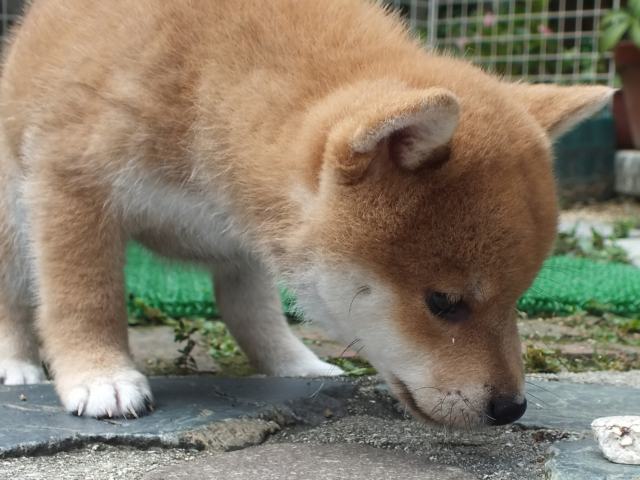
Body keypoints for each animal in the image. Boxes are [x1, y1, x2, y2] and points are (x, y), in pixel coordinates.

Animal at [0, 0, 612, 428]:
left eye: (517, 299)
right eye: (444, 303)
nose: (512, 409)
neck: (209, 84)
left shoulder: (251, 233)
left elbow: (256, 309)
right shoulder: (71, 183)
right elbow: (85, 295)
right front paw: (99, 374)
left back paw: (295, 364)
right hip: (11, 215)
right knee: (14, 296)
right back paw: (16, 364)